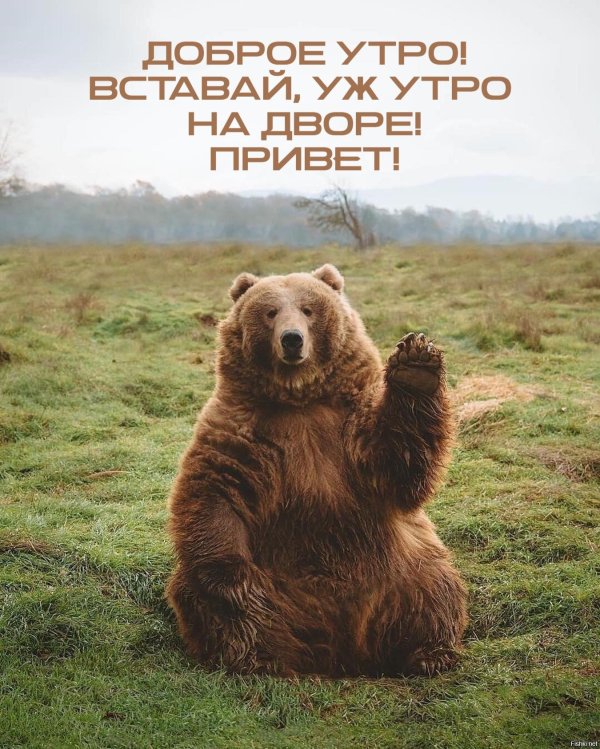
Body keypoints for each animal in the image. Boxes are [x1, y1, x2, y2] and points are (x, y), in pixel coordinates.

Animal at [166, 264, 467, 677]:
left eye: (308, 309)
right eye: (270, 311)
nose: (292, 340)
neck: (300, 399)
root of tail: (340, 649)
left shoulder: (350, 428)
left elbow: (399, 463)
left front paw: (415, 365)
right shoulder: (240, 430)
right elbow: (214, 491)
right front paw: (232, 579)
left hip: (400, 568)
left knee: (433, 588)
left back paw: (428, 653)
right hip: (279, 586)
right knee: (215, 607)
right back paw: (259, 658)